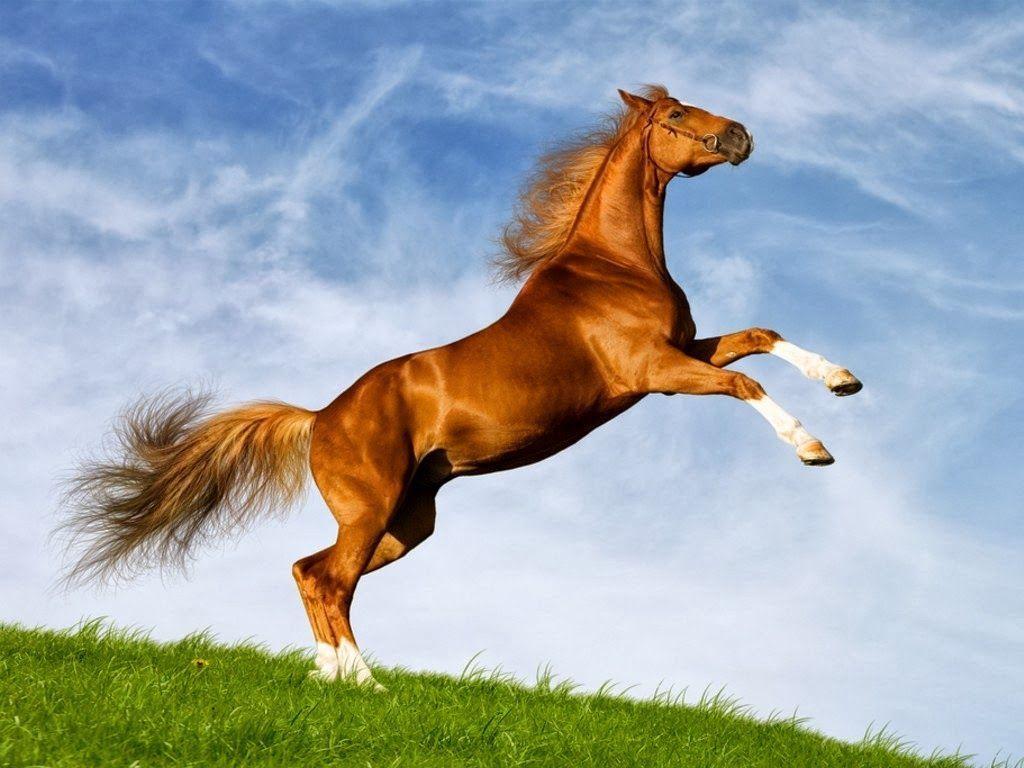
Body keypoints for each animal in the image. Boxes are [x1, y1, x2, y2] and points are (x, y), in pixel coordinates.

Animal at [61, 85, 861, 689]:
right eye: (673, 117)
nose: (740, 135)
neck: (613, 267)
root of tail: (319, 417)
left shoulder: (683, 350)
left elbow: (760, 335)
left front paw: (843, 380)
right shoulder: (654, 372)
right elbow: (745, 383)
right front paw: (814, 448)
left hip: (406, 523)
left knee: (311, 571)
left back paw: (330, 676)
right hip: (372, 509)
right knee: (327, 579)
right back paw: (366, 683)